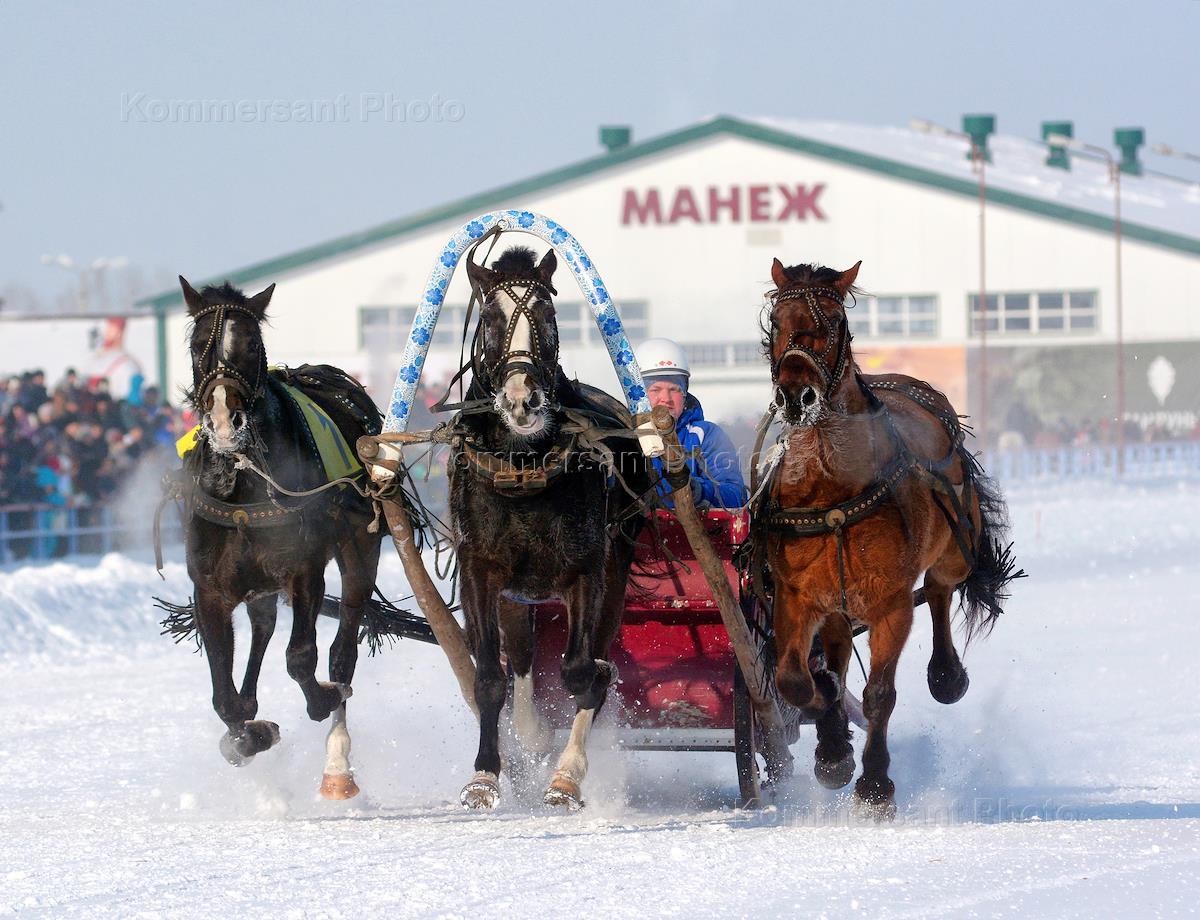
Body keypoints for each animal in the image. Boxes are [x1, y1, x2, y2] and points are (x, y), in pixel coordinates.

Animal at [174, 278, 384, 796]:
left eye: (251, 344)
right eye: (196, 345)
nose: (224, 422)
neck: (243, 480)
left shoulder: (304, 569)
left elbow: (301, 658)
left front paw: (322, 699)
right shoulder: (210, 589)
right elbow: (225, 700)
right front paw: (250, 734)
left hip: (360, 546)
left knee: (344, 642)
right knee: (263, 624)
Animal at [451, 247, 657, 815]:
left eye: (547, 314)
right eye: (490, 318)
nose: (522, 399)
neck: (525, 470)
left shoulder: (587, 571)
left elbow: (580, 672)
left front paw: (566, 773)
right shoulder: (480, 571)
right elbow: (490, 676)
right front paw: (485, 777)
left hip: (614, 567)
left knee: (589, 662)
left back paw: (566, 770)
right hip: (517, 595)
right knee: (520, 659)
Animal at [753, 256, 1017, 820]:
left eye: (834, 322)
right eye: (777, 322)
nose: (795, 397)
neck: (832, 488)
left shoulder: (890, 602)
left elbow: (879, 694)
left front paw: (875, 785)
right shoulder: (795, 595)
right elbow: (797, 681)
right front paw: (832, 745)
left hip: (953, 551)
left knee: (939, 591)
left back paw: (946, 675)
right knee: (833, 649)